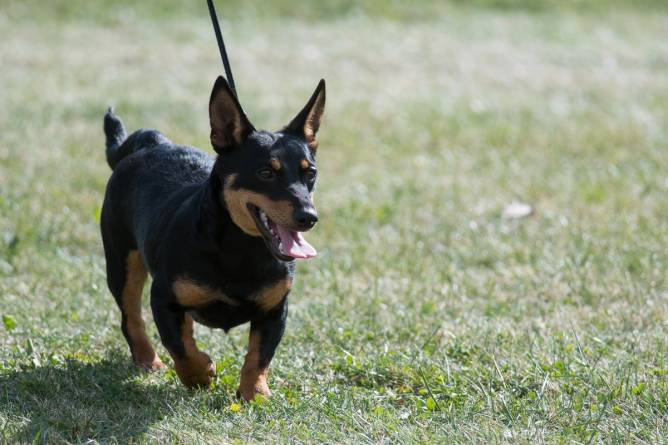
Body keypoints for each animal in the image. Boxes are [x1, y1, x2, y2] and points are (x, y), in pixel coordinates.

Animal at [100, 76, 326, 398]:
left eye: (311, 173)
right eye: (266, 173)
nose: (308, 216)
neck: (240, 248)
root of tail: (151, 142)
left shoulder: (275, 310)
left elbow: (259, 354)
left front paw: (254, 393)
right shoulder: (163, 299)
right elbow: (179, 348)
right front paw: (200, 373)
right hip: (122, 262)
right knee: (131, 316)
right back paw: (148, 360)